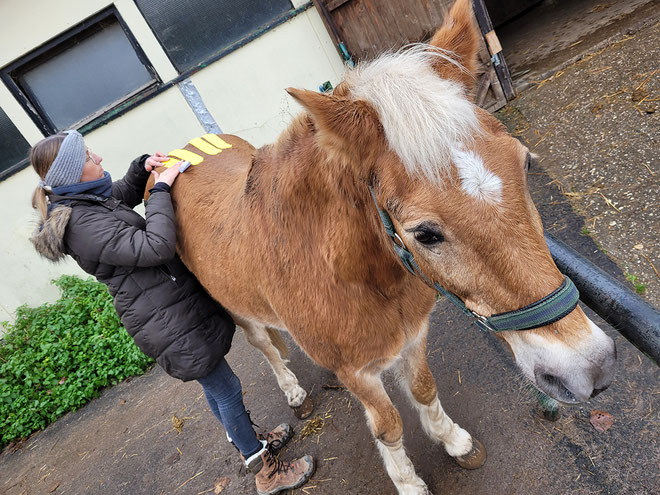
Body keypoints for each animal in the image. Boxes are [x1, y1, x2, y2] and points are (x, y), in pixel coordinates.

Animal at [147, 2, 616, 492]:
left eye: (525, 163)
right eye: (424, 233)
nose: (591, 368)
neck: (351, 273)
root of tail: (179, 157)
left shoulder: (414, 335)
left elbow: (424, 390)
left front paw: (454, 441)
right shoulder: (356, 372)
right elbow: (388, 425)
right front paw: (408, 481)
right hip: (237, 311)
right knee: (266, 347)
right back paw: (292, 389)